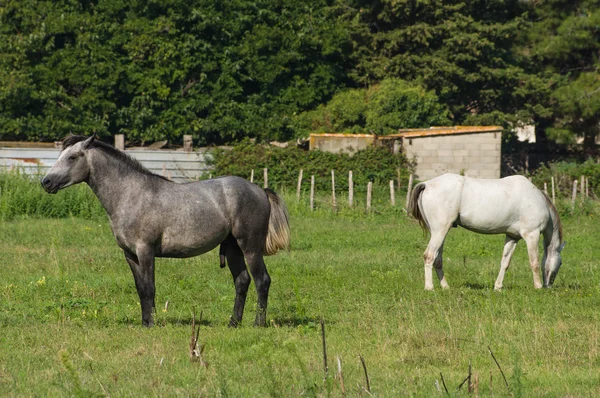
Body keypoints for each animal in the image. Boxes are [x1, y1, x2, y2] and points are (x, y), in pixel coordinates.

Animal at [41, 135, 290, 328]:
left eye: (72, 157)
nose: (46, 182)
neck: (131, 195)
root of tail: (259, 189)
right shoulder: (130, 255)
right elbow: (140, 289)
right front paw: (144, 323)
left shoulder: (146, 251)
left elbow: (149, 288)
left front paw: (151, 324)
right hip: (232, 248)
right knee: (242, 281)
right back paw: (233, 323)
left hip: (250, 248)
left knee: (262, 281)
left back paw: (258, 323)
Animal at [406, 173, 564, 290]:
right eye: (561, 263)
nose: (548, 286)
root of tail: (427, 184)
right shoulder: (532, 235)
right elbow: (534, 262)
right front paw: (537, 286)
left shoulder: (512, 237)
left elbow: (505, 262)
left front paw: (498, 287)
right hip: (440, 231)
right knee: (429, 256)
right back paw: (429, 287)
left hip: (438, 233)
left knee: (437, 259)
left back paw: (445, 286)